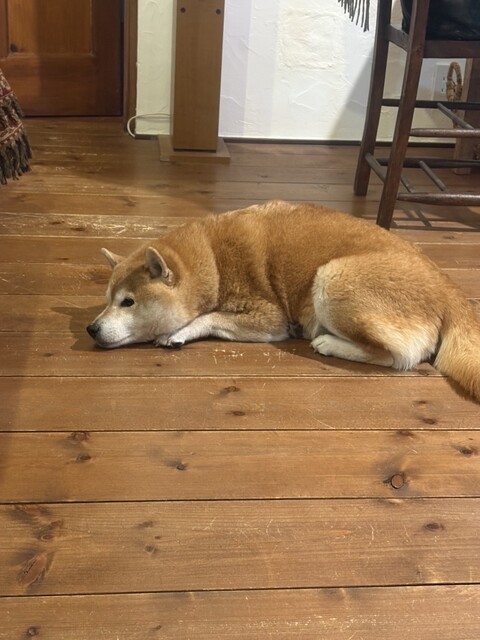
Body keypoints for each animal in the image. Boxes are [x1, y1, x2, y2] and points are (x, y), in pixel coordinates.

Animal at [87, 201, 480, 402]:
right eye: (107, 300)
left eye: (128, 302)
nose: (91, 328)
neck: (210, 258)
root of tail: (451, 291)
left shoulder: (269, 317)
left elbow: (208, 317)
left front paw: (178, 332)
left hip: (331, 278)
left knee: (398, 357)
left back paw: (329, 344)